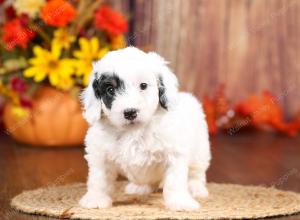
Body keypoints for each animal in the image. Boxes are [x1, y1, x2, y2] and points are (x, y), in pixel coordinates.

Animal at [79, 46, 211, 211]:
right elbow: (98, 178)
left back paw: (195, 188)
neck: (133, 131)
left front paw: (180, 202)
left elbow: (175, 181)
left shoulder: (174, 153)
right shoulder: (100, 154)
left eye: (143, 86)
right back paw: (139, 187)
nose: (130, 112)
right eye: (110, 89)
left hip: (200, 150)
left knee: (196, 171)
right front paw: (95, 199)